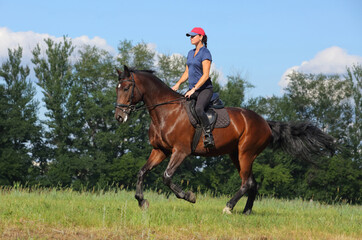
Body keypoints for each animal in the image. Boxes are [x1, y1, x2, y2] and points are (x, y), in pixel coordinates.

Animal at [114, 65, 336, 214]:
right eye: (117, 88)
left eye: (125, 88)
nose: (119, 117)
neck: (166, 112)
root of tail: (265, 122)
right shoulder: (160, 151)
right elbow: (142, 172)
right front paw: (141, 201)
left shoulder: (181, 151)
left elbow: (167, 177)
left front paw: (189, 196)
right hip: (236, 155)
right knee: (252, 183)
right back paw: (246, 211)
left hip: (246, 153)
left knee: (246, 183)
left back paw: (229, 207)